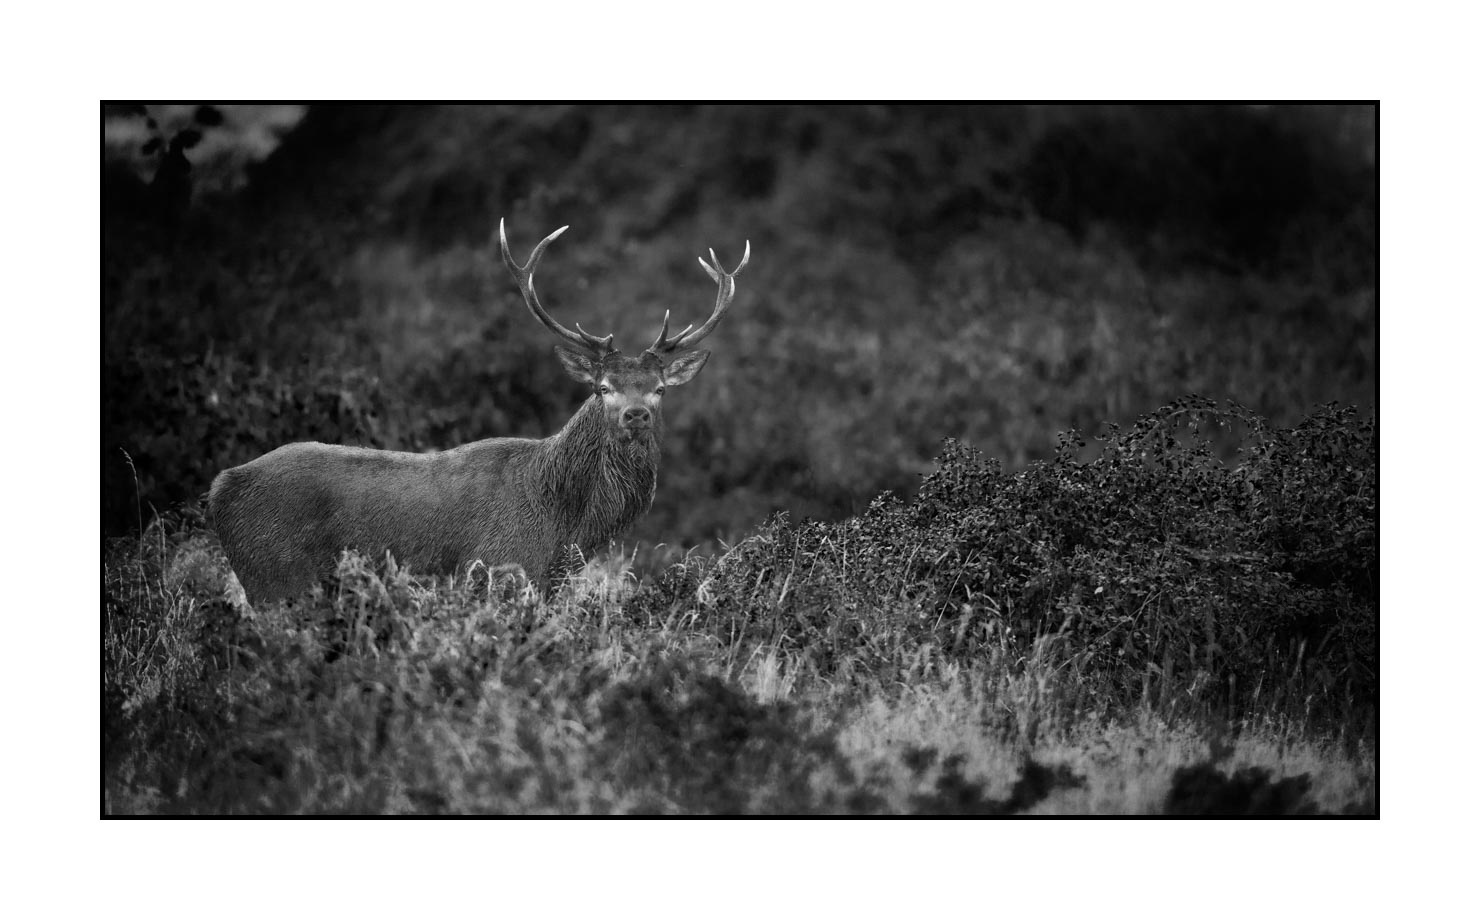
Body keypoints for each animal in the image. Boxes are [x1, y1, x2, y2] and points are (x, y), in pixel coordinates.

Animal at [208, 220, 749, 604]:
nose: (636, 415)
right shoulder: (497, 567)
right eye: (602, 388)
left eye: (658, 389)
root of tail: (219, 488)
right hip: (274, 578)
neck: (564, 526)